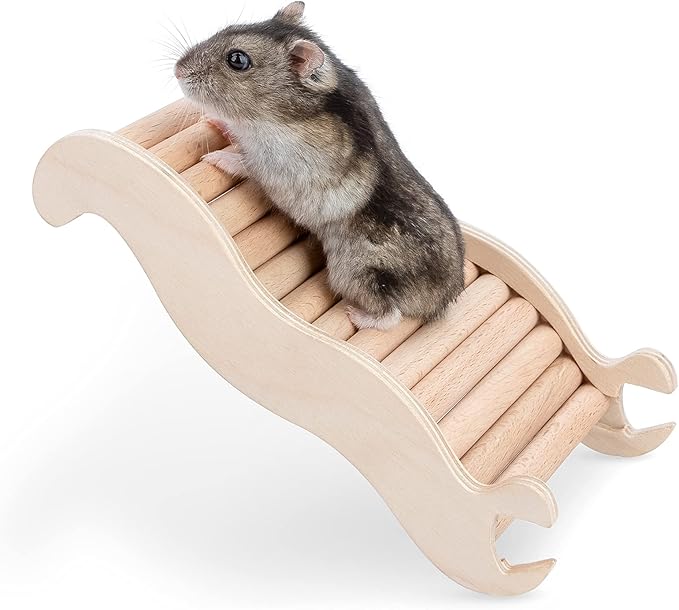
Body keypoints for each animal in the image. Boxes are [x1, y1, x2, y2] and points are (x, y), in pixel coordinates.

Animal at [174, 1, 465, 330]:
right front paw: (215, 122)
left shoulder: (279, 166)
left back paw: (355, 315)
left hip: (356, 272)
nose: (177, 69)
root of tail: (442, 301)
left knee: (391, 315)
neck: (276, 114)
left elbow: (246, 163)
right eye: (225, 29)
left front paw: (212, 157)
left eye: (237, 59)